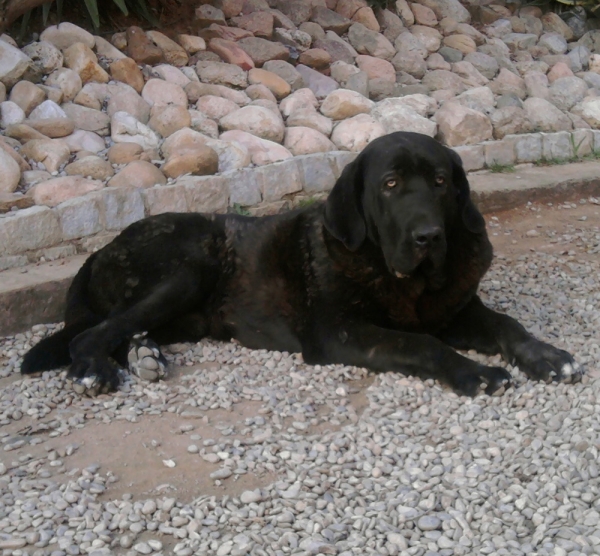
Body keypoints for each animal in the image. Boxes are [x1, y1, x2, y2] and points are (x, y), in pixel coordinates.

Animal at [22, 130, 580, 396]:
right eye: (391, 184)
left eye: (441, 182)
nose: (429, 236)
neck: (405, 281)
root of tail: (99, 248)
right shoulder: (340, 332)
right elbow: (420, 344)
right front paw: (473, 373)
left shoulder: (458, 310)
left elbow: (507, 325)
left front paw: (547, 356)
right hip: (188, 266)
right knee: (89, 336)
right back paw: (97, 369)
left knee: (121, 330)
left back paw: (144, 354)